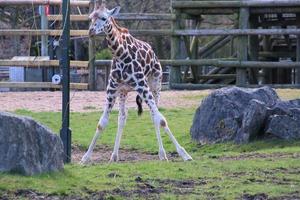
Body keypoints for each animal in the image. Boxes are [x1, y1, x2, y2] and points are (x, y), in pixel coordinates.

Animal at [80, 1, 192, 164]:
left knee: (154, 115)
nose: (91, 31)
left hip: (155, 85)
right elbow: (102, 123)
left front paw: (184, 154)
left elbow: (161, 120)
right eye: (90, 17)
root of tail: (153, 52)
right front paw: (85, 157)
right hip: (123, 91)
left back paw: (162, 154)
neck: (120, 54)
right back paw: (114, 155)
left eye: (103, 18)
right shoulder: (111, 89)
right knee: (122, 117)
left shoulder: (142, 86)